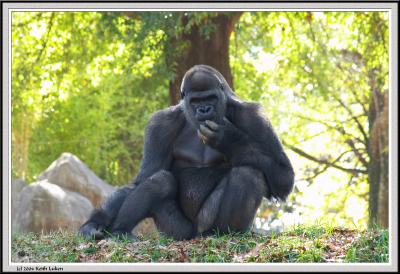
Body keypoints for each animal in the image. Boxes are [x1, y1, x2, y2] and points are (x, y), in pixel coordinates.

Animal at [80, 64, 294, 240]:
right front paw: (94, 222)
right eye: (196, 101)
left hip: (207, 226)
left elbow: (283, 176)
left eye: (210, 98)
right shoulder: (161, 124)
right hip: (176, 232)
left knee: (248, 174)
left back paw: (226, 232)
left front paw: (228, 138)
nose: (204, 109)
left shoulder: (253, 117)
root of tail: (195, 236)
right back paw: (120, 232)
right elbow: (143, 178)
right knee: (160, 181)